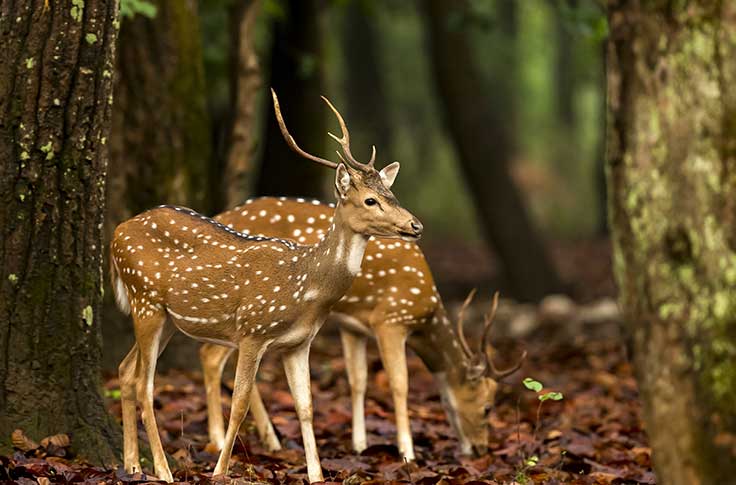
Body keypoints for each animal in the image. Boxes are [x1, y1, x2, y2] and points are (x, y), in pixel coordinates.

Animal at [108, 90, 420, 480]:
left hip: (165, 317)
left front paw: (317, 476)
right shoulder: (252, 331)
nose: (415, 225)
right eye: (370, 200)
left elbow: (306, 406)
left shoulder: (299, 344)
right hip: (144, 299)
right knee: (146, 385)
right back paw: (163, 471)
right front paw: (219, 472)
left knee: (126, 372)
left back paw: (132, 464)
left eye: (392, 195)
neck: (304, 288)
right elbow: (239, 402)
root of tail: (116, 233)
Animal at [200, 196, 524, 458]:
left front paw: (360, 444)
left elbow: (358, 380)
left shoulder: (353, 326)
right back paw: (218, 440)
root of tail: (222, 215)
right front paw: (407, 452)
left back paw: (271, 441)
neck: (426, 311)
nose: (481, 449)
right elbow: (399, 383)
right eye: (487, 407)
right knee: (210, 356)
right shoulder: (391, 319)